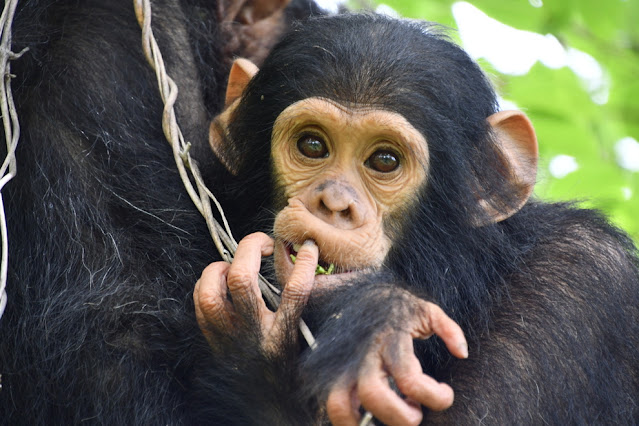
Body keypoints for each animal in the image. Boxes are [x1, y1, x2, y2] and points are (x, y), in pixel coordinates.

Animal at [195, 11, 639, 424]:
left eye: (385, 160)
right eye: (312, 145)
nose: (334, 203)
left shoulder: (579, 282)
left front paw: (378, 318)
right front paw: (255, 340)